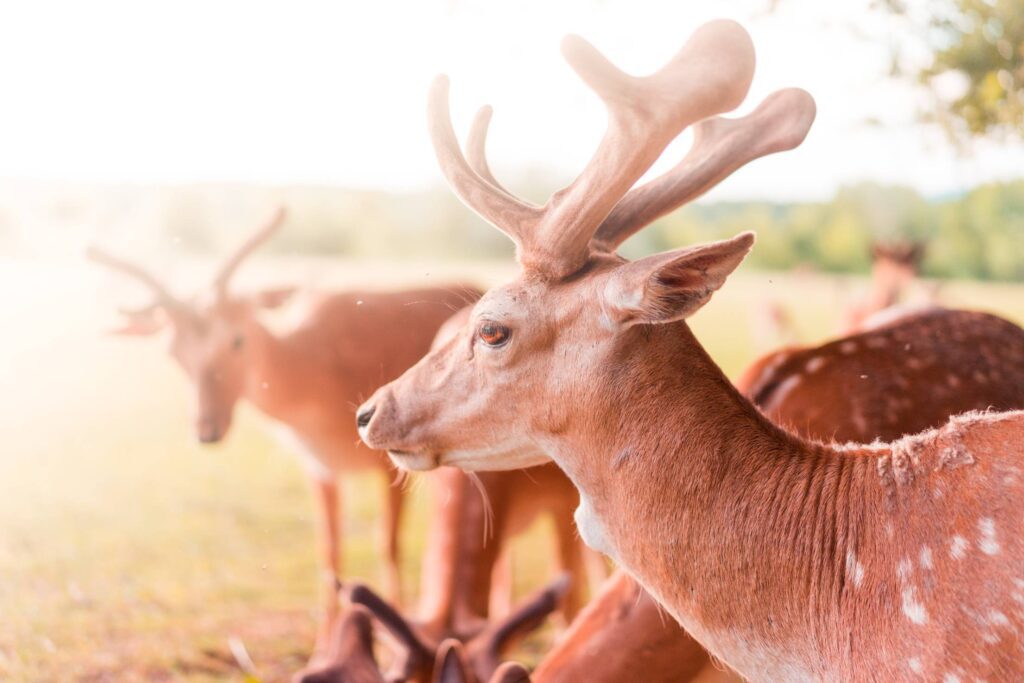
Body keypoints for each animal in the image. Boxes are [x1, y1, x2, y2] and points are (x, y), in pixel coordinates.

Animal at [87, 205, 479, 659]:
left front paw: (393, 645)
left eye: (237, 339)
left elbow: (389, 545)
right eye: (173, 352)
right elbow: (329, 553)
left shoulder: (390, 462)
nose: (207, 429)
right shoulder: (318, 466)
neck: (320, 387)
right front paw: (324, 648)